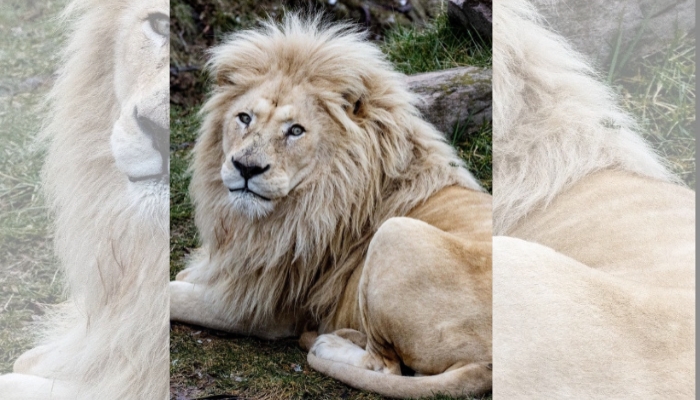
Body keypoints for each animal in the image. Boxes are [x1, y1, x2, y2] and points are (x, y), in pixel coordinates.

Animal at [169, 15, 493, 398]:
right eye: (244, 118)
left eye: (296, 130)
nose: (246, 168)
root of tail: (486, 364)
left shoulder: (260, 307)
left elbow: (172, 295)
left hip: (394, 233)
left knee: (385, 365)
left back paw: (327, 342)